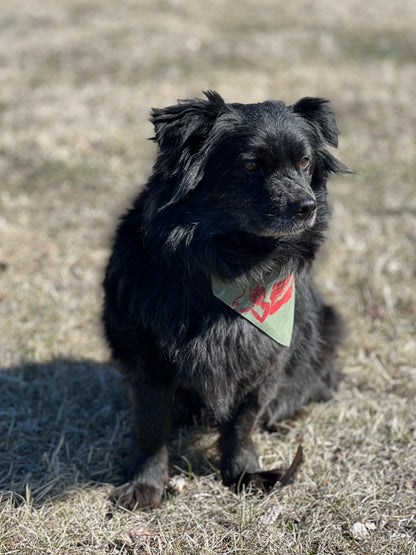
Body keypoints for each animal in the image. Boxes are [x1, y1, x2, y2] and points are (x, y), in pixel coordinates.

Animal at [102, 91, 350, 512]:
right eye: (250, 164)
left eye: (304, 162)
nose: (307, 206)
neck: (236, 262)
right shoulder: (146, 358)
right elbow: (150, 429)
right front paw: (145, 485)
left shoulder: (264, 358)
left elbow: (243, 422)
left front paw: (243, 474)